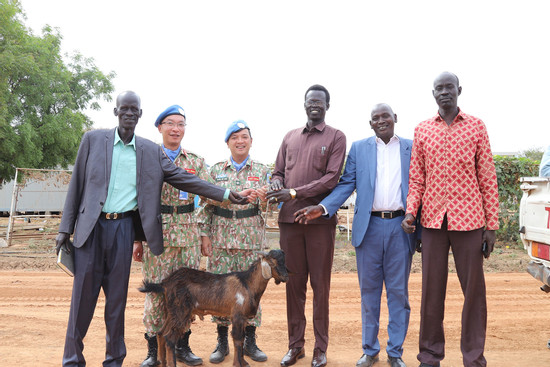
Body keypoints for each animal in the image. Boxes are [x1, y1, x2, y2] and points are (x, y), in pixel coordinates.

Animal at [139, 250, 288, 367]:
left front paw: (244, 363)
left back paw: (164, 362)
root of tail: (165, 283)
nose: (285, 276)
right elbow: (237, 338)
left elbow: (242, 337)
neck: (247, 284)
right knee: (169, 337)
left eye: (284, 261)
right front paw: (238, 364)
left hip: (172, 312)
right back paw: (171, 363)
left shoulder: (244, 317)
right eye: (273, 262)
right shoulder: (237, 315)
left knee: (161, 333)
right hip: (181, 311)